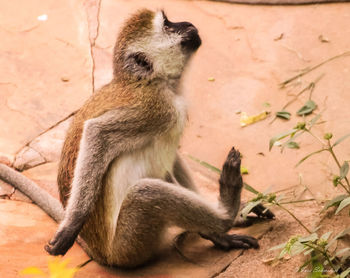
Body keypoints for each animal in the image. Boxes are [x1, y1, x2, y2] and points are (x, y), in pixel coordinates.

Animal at [0, 9, 274, 268]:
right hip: (129, 243)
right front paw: (73, 221)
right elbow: (97, 133)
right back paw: (226, 212)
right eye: (167, 25)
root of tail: (102, 254)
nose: (187, 23)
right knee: (147, 192)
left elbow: (171, 157)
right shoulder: (154, 109)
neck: (156, 82)